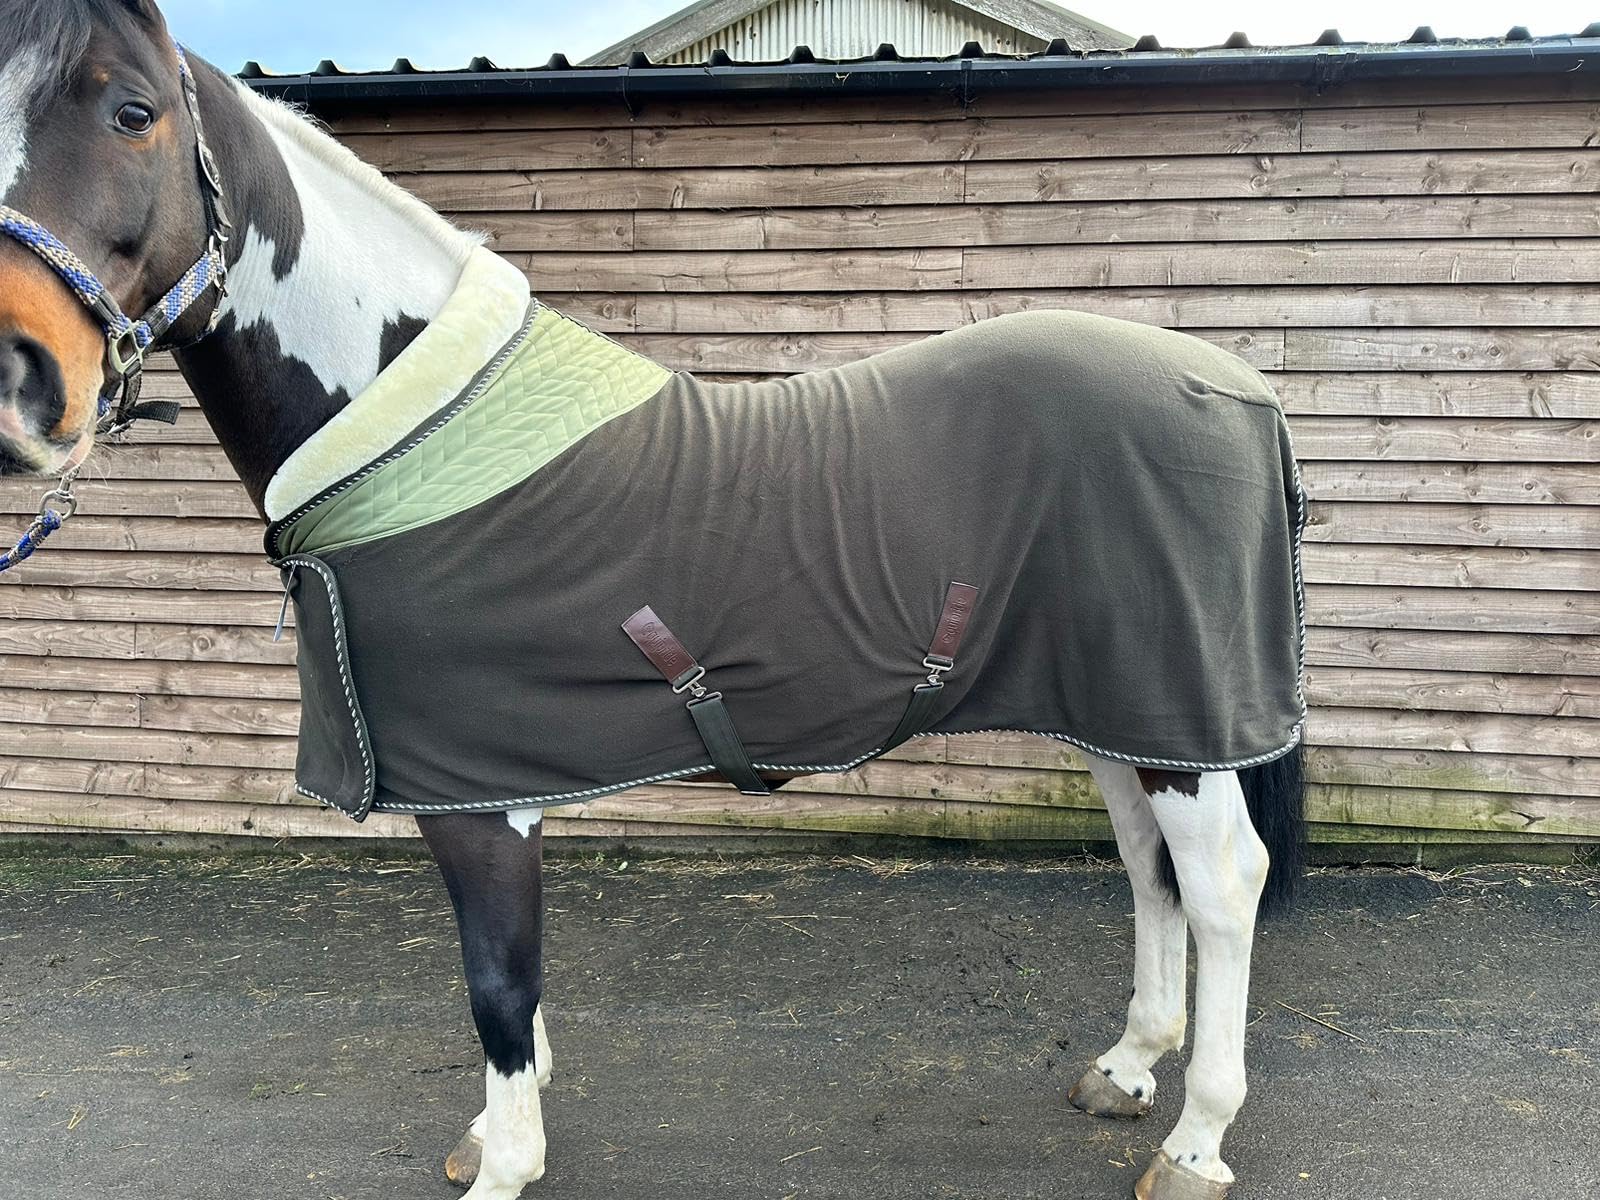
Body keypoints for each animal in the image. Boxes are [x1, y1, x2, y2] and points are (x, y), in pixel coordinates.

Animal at [0, 4, 1310, 1199]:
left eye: (133, 112)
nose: (24, 385)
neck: (411, 424)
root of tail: (1238, 387)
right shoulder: (493, 782)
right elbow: (513, 994)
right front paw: (498, 1130)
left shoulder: (481, 803)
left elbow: (497, 984)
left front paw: (504, 1165)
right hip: (1114, 710)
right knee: (1148, 867)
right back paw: (1127, 1069)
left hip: (1177, 720)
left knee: (1221, 883)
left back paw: (1195, 1142)